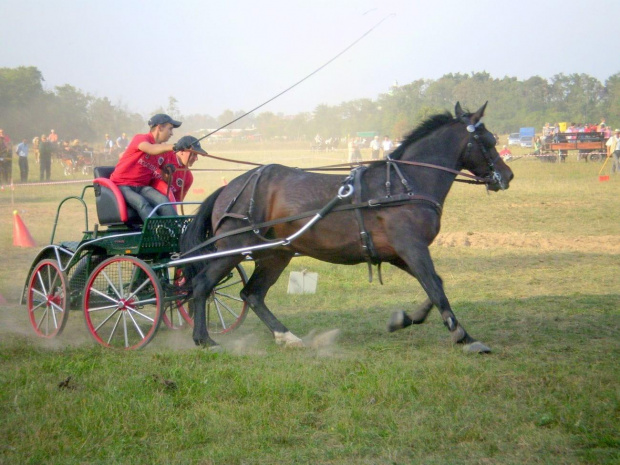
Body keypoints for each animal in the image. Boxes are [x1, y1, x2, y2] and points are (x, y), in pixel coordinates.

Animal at [178, 102, 512, 352]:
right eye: (490, 141)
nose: (507, 175)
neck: (404, 183)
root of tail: (231, 186)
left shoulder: (398, 253)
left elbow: (435, 285)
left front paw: (405, 319)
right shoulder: (412, 247)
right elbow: (436, 288)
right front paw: (464, 336)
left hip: (275, 254)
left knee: (253, 294)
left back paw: (286, 336)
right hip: (234, 248)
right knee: (203, 285)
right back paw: (203, 338)